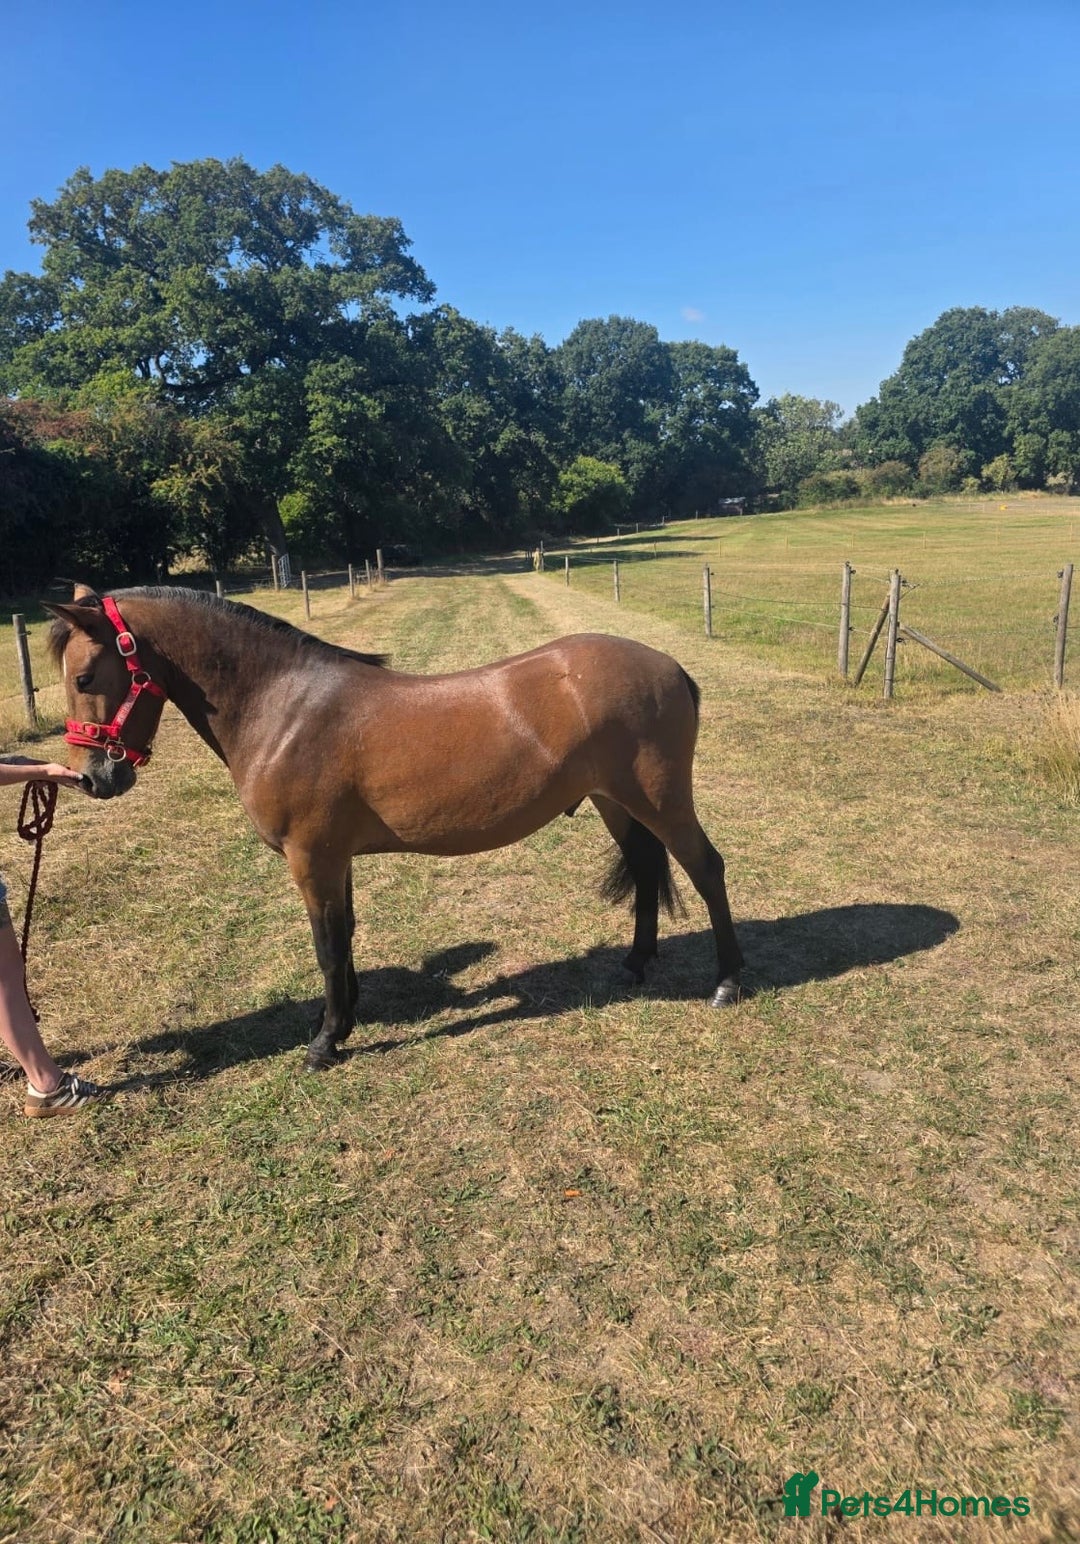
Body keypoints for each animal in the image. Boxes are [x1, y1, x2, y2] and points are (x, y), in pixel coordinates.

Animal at [46, 585, 744, 1069]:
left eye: (85, 676)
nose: (92, 778)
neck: (284, 705)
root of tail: (669, 667)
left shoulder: (313, 857)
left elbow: (328, 946)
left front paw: (325, 1043)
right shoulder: (336, 859)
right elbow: (346, 936)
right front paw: (341, 1020)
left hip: (661, 800)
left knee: (706, 869)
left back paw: (726, 982)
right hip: (615, 802)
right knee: (649, 868)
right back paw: (635, 963)